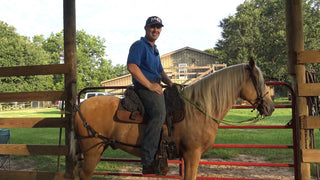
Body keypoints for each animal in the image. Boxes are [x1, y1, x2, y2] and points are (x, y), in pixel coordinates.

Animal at [73, 58, 276, 179]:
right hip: (92, 151)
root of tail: (80, 106)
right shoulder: (193, 155)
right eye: (259, 81)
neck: (199, 109)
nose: (270, 106)